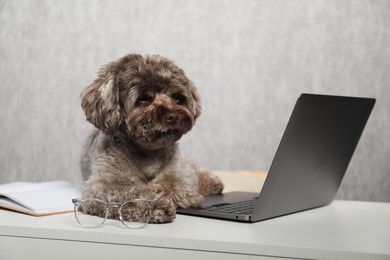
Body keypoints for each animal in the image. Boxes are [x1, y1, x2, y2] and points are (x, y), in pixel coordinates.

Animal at [79, 53, 224, 222]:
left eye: (177, 98)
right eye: (143, 98)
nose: (172, 116)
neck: (147, 153)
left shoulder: (180, 177)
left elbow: (172, 186)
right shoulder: (105, 184)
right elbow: (130, 193)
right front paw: (157, 206)